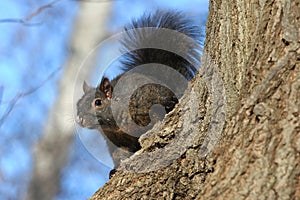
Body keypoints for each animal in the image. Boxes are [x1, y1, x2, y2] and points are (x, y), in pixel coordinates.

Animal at [76, 10, 202, 174]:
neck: (114, 126)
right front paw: (115, 169)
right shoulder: (115, 141)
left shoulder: (145, 101)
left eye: (98, 102)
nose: (79, 119)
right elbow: (119, 153)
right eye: (78, 104)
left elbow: (155, 114)